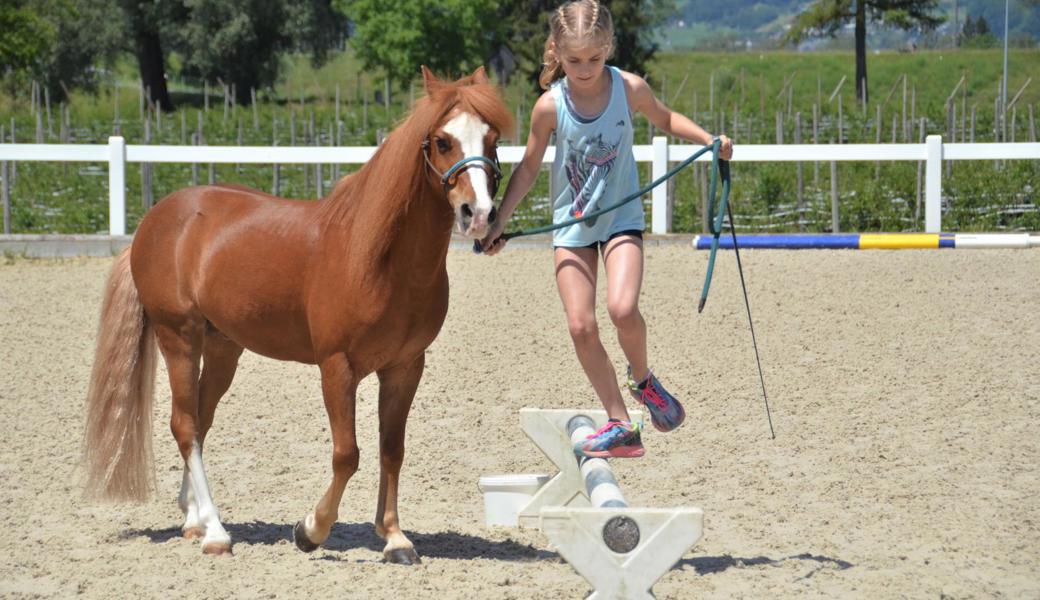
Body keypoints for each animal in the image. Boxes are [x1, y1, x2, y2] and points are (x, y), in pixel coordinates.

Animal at [83, 67, 513, 565]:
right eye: (442, 141)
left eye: (493, 139)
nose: (479, 213)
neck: (376, 256)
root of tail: (155, 221)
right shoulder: (337, 367)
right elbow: (347, 454)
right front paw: (310, 530)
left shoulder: (405, 367)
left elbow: (392, 450)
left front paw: (394, 538)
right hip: (179, 339)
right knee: (185, 426)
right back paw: (215, 532)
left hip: (224, 348)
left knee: (200, 422)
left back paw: (193, 519)